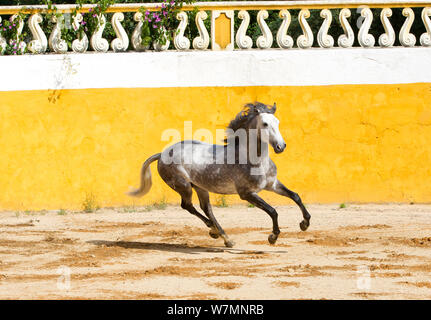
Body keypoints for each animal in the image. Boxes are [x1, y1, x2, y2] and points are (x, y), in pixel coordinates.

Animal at [128, 102, 310, 248]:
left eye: (277, 122)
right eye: (265, 123)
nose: (281, 146)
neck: (254, 160)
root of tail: (162, 154)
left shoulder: (272, 185)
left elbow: (295, 196)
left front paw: (304, 223)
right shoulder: (247, 194)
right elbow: (273, 211)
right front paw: (273, 237)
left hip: (200, 187)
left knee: (206, 208)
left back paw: (224, 237)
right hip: (184, 186)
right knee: (188, 206)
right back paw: (215, 231)